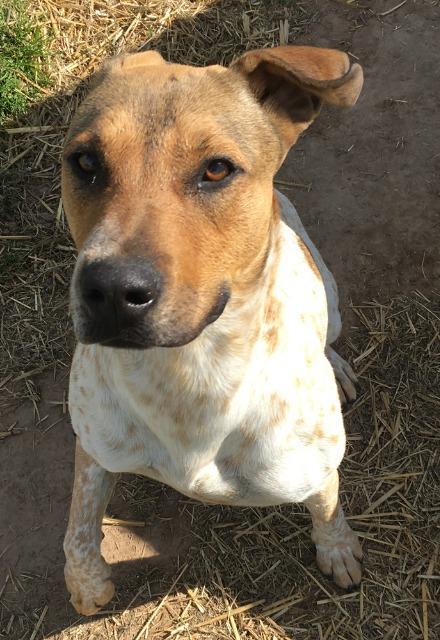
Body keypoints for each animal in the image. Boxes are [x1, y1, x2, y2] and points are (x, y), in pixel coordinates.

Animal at [62, 43, 364, 616]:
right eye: (85, 162)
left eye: (217, 170)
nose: (110, 291)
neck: (189, 374)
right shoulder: (93, 443)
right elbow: (79, 522)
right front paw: (86, 583)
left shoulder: (314, 472)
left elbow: (329, 511)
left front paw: (337, 551)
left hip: (332, 296)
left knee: (330, 336)